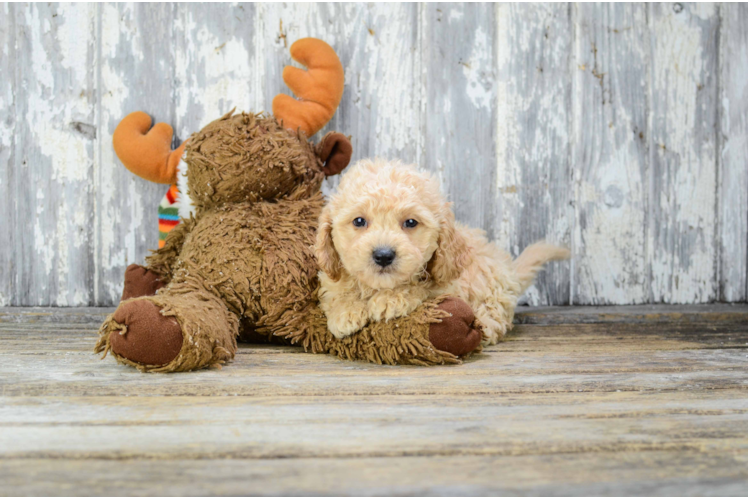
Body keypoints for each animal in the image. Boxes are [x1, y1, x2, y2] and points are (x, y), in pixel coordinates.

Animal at [314, 158, 568, 346]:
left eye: (410, 222)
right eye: (359, 221)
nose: (384, 255)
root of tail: (509, 269)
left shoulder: (449, 284)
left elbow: (421, 287)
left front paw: (392, 299)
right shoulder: (331, 276)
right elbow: (337, 290)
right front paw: (345, 311)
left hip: (493, 287)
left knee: (496, 314)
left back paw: (483, 327)